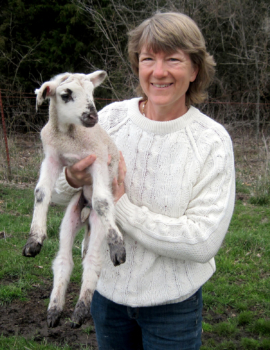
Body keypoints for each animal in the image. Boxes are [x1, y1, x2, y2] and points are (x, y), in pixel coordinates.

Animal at [21, 70, 125, 328]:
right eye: (66, 94)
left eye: (91, 92)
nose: (92, 116)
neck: (68, 136)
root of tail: (85, 211)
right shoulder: (52, 158)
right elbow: (41, 193)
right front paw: (34, 240)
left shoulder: (98, 159)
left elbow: (102, 201)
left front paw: (118, 245)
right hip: (71, 216)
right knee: (63, 260)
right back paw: (55, 310)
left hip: (97, 223)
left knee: (93, 260)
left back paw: (80, 311)